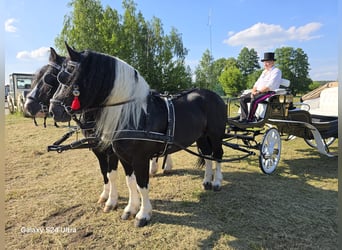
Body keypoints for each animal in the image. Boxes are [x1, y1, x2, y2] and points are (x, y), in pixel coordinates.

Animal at [24, 47, 172, 213]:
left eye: (50, 78)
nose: (28, 106)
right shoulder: (97, 149)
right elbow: (104, 171)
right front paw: (105, 196)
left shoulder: (112, 151)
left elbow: (112, 174)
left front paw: (112, 201)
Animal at [49, 44, 227, 228]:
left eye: (68, 74)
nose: (53, 110)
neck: (133, 115)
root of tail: (214, 95)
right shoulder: (124, 157)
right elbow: (130, 181)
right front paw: (130, 208)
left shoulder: (140, 158)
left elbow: (142, 184)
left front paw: (143, 214)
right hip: (202, 136)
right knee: (207, 155)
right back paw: (206, 181)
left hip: (215, 134)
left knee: (217, 155)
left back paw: (216, 182)